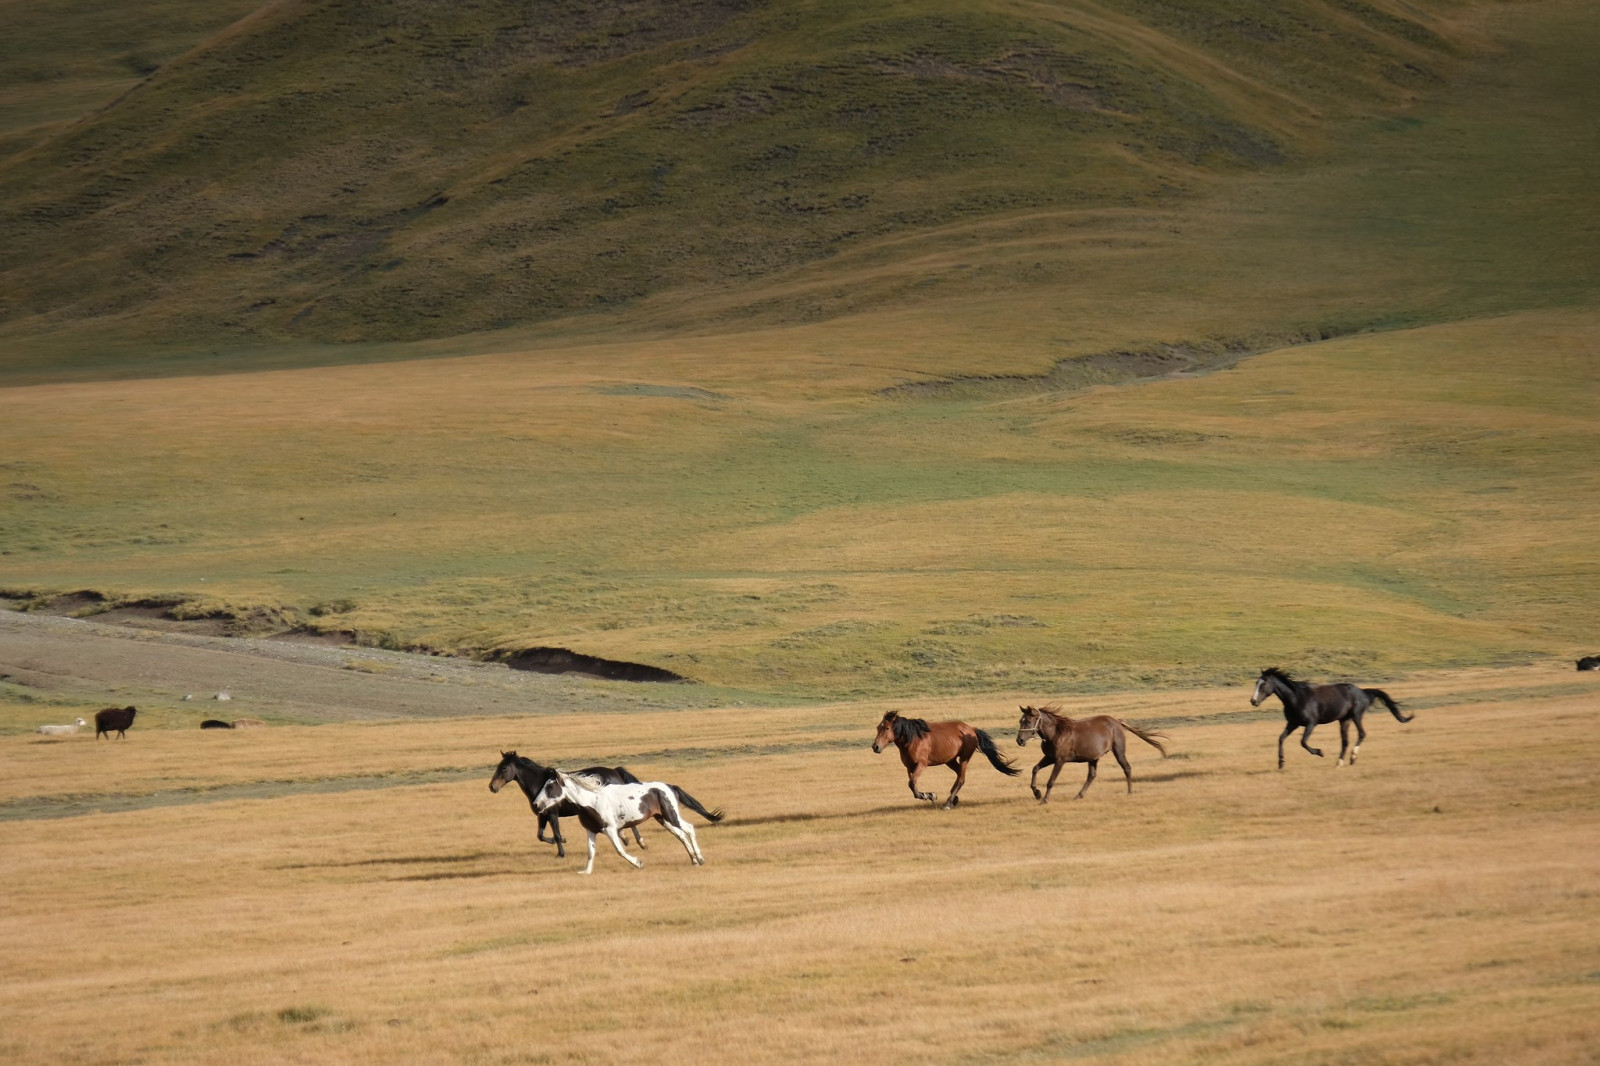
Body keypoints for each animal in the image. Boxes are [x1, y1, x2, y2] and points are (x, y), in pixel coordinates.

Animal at [489, 751, 723, 859]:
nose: (492, 787)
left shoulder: (552, 813)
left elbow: (554, 833)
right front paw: (561, 842)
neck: (538, 783)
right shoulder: (541, 815)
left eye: (503, 768)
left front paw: (561, 850)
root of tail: (615, 770)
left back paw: (635, 841)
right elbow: (540, 835)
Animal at [532, 770, 705, 874]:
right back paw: (693, 860)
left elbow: (620, 850)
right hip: (663, 819)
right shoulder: (591, 830)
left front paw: (638, 863)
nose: (536, 804)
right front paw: (586, 872)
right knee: (681, 835)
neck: (592, 801)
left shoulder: (610, 829)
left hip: (671, 816)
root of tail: (670, 786)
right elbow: (590, 852)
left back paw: (700, 859)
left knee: (689, 829)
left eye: (550, 786)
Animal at [872, 710, 1020, 809]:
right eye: (878, 727)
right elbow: (912, 786)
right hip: (950, 760)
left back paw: (948, 803)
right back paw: (953, 798)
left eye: (887, 728)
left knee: (961, 779)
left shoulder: (921, 765)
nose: (875, 747)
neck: (913, 740)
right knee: (959, 775)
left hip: (964, 758)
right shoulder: (909, 767)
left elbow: (912, 783)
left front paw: (929, 795)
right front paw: (929, 795)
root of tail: (971, 729)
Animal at [1015, 704, 1169, 803]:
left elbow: (1051, 781)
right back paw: (1078, 796)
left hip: (1118, 751)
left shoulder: (1060, 760)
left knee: (1126, 768)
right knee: (1092, 775)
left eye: (1028, 721)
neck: (1056, 733)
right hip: (1093, 758)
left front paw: (1044, 799)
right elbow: (1035, 769)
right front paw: (1037, 793)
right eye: (1020, 720)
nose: (1019, 740)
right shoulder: (1049, 758)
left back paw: (1130, 792)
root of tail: (1117, 722)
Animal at [1250, 667, 1411, 769]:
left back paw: (1353, 758)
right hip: (1344, 720)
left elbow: (1303, 742)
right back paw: (1339, 763)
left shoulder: (1311, 723)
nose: (1253, 701)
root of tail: (1363, 692)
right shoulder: (1293, 723)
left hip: (1356, 715)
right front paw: (1281, 763)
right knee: (1345, 741)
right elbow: (1281, 738)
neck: (1296, 698)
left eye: (1263, 684)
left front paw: (1320, 752)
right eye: (1256, 683)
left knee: (1361, 734)